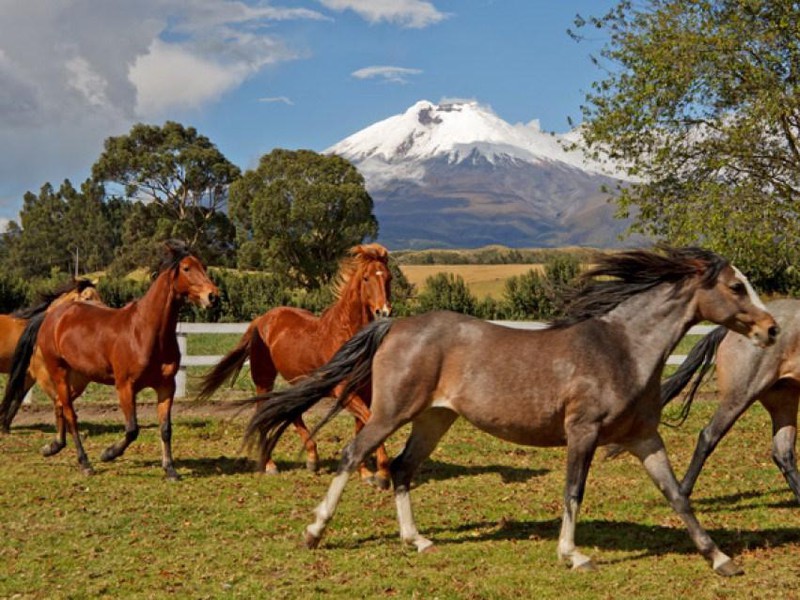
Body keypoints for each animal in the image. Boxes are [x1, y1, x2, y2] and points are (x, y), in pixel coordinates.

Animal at [196, 243, 393, 485]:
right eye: (366, 278)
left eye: (389, 277)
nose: (383, 311)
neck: (346, 335)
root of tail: (261, 320)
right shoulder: (343, 390)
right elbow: (368, 420)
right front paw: (382, 474)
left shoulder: (364, 390)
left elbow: (362, 426)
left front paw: (365, 473)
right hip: (264, 379)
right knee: (263, 411)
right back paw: (270, 464)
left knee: (293, 413)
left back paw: (312, 459)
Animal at [242, 247, 778, 576]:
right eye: (736, 287)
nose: (772, 329)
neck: (623, 349)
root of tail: (393, 326)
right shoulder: (582, 432)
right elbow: (573, 492)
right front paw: (573, 555)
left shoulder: (644, 437)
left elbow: (678, 496)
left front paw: (721, 559)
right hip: (389, 413)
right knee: (355, 455)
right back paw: (314, 532)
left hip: (434, 419)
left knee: (403, 469)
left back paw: (418, 541)